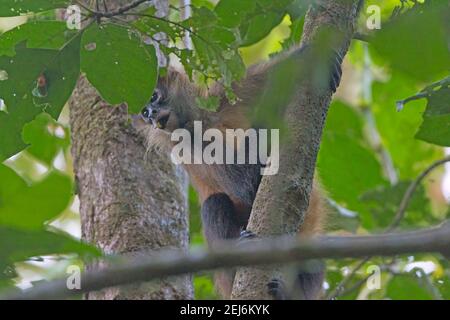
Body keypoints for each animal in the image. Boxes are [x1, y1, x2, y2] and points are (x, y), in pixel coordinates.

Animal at [134, 43, 344, 298]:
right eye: (144, 112)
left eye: (153, 97)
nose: (152, 115)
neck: (204, 122)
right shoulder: (186, 142)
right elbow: (245, 185)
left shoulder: (226, 95)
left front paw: (308, 56)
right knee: (214, 203)